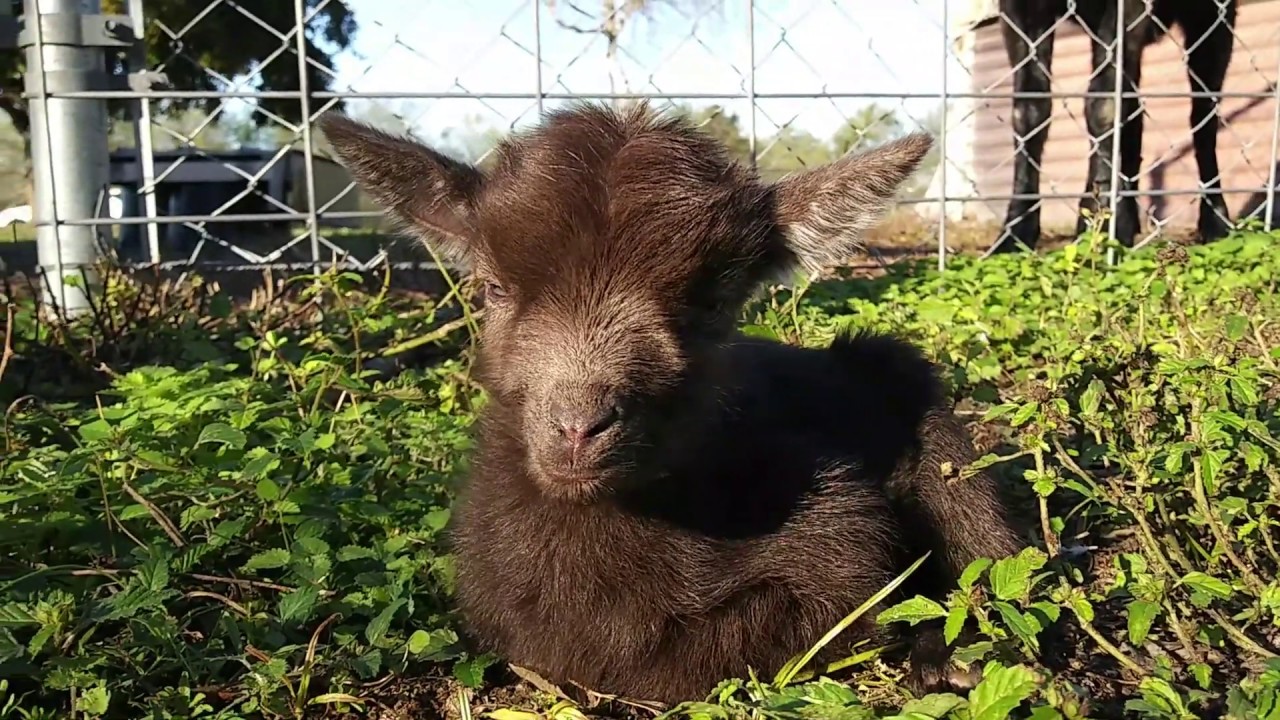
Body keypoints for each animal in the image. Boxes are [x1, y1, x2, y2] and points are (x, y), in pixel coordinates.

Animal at [993, 0, 1238, 253]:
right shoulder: (1019, 9)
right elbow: (1029, 109)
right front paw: (1014, 233)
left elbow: (1103, 104)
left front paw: (1101, 227)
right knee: (1133, 115)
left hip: (1211, 17)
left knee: (1204, 115)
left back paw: (1216, 219)